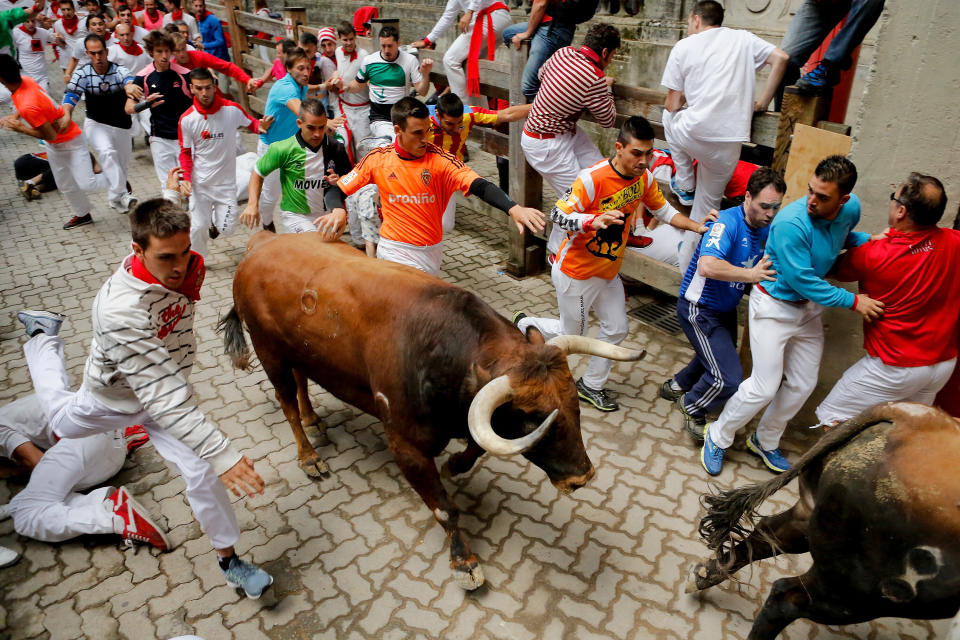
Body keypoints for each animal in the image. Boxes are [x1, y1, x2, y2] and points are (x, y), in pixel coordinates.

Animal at [688, 402, 960, 636]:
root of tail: (908, 417)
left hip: (809, 516)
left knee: (767, 535)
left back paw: (703, 576)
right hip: (860, 593)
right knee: (787, 598)